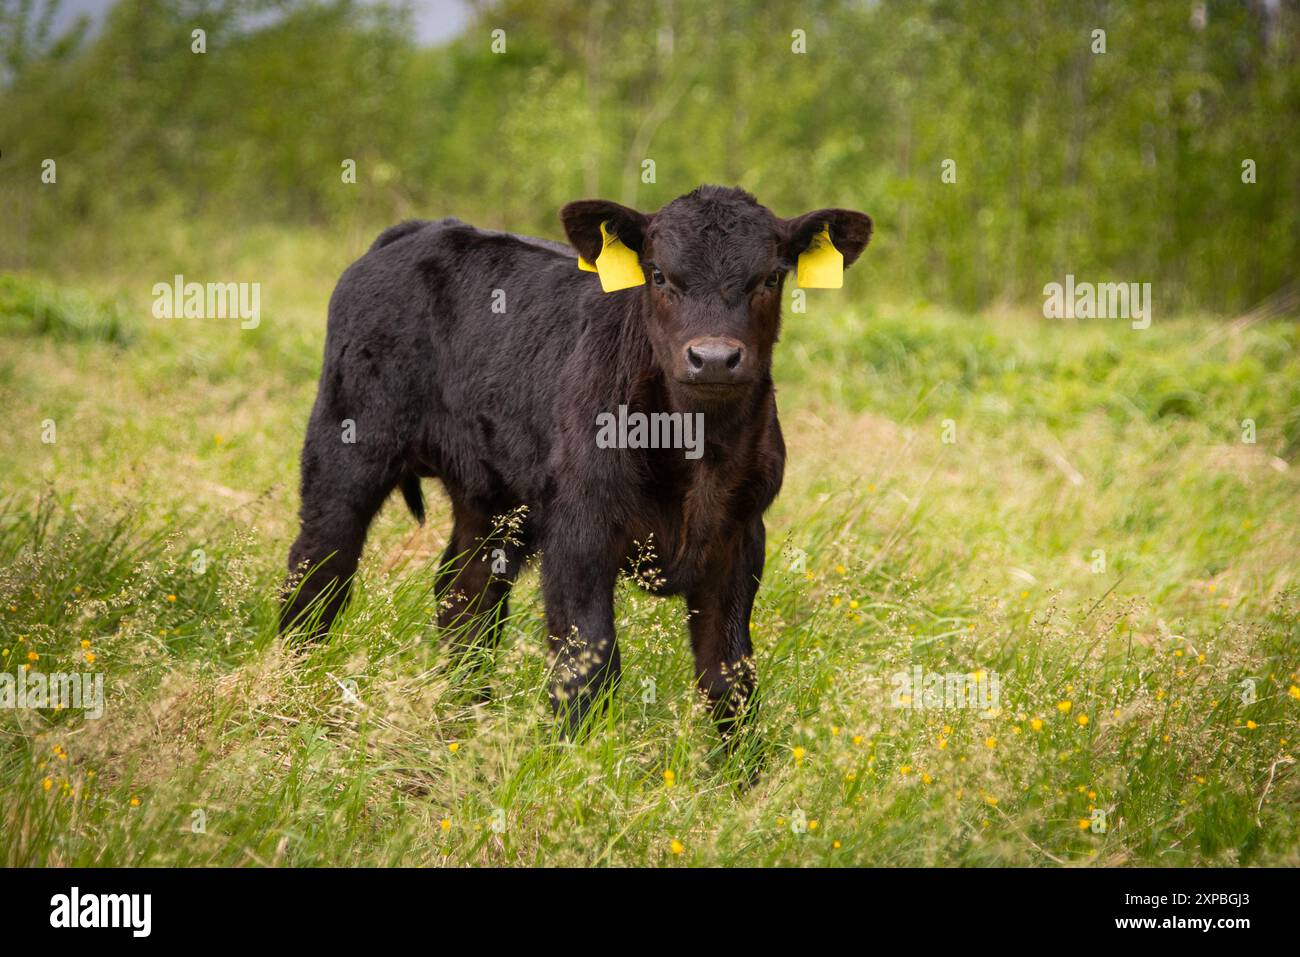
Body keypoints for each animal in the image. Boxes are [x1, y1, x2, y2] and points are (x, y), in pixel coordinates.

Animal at [280, 185, 873, 745]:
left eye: (770, 277)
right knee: (319, 569)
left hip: (491, 495)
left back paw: (467, 718)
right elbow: (587, 663)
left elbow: (729, 676)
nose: (713, 358)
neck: (693, 446)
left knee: (465, 594)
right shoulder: (577, 529)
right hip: (345, 445)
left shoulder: (740, 535)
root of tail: (422, 229)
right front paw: (573, 761)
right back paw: (295, 687)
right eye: (659, 274)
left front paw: (739, 777)